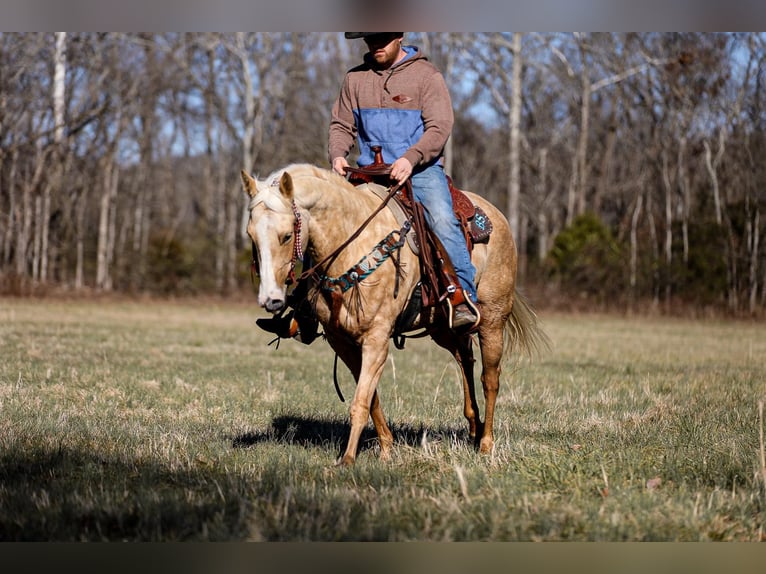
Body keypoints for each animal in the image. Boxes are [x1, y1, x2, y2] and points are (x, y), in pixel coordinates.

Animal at [240, 163, 544, 468]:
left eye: (286, 236)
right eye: (251, 235)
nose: (270, 299)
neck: (352, 244)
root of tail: (498, 217)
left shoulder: (377, 339)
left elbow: (361, 401)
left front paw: (347, 459)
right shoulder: (342, 341)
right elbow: (370, 396)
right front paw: (386, 448)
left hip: (492, 320)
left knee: (490, 379)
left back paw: (486, 443)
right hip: (443, 329)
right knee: (465, 361)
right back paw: (473, 427)